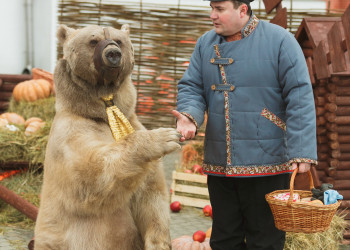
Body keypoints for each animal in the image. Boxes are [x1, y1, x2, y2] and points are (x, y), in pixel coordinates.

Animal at [33, 23, 180, 250]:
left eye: (118, 40)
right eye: (93, 40)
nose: (113, 53)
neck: (103, 113)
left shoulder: (132, 121)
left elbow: (150, 195)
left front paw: (159, 243)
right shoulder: (70, 134)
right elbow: (92, 172)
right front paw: (165, 137)